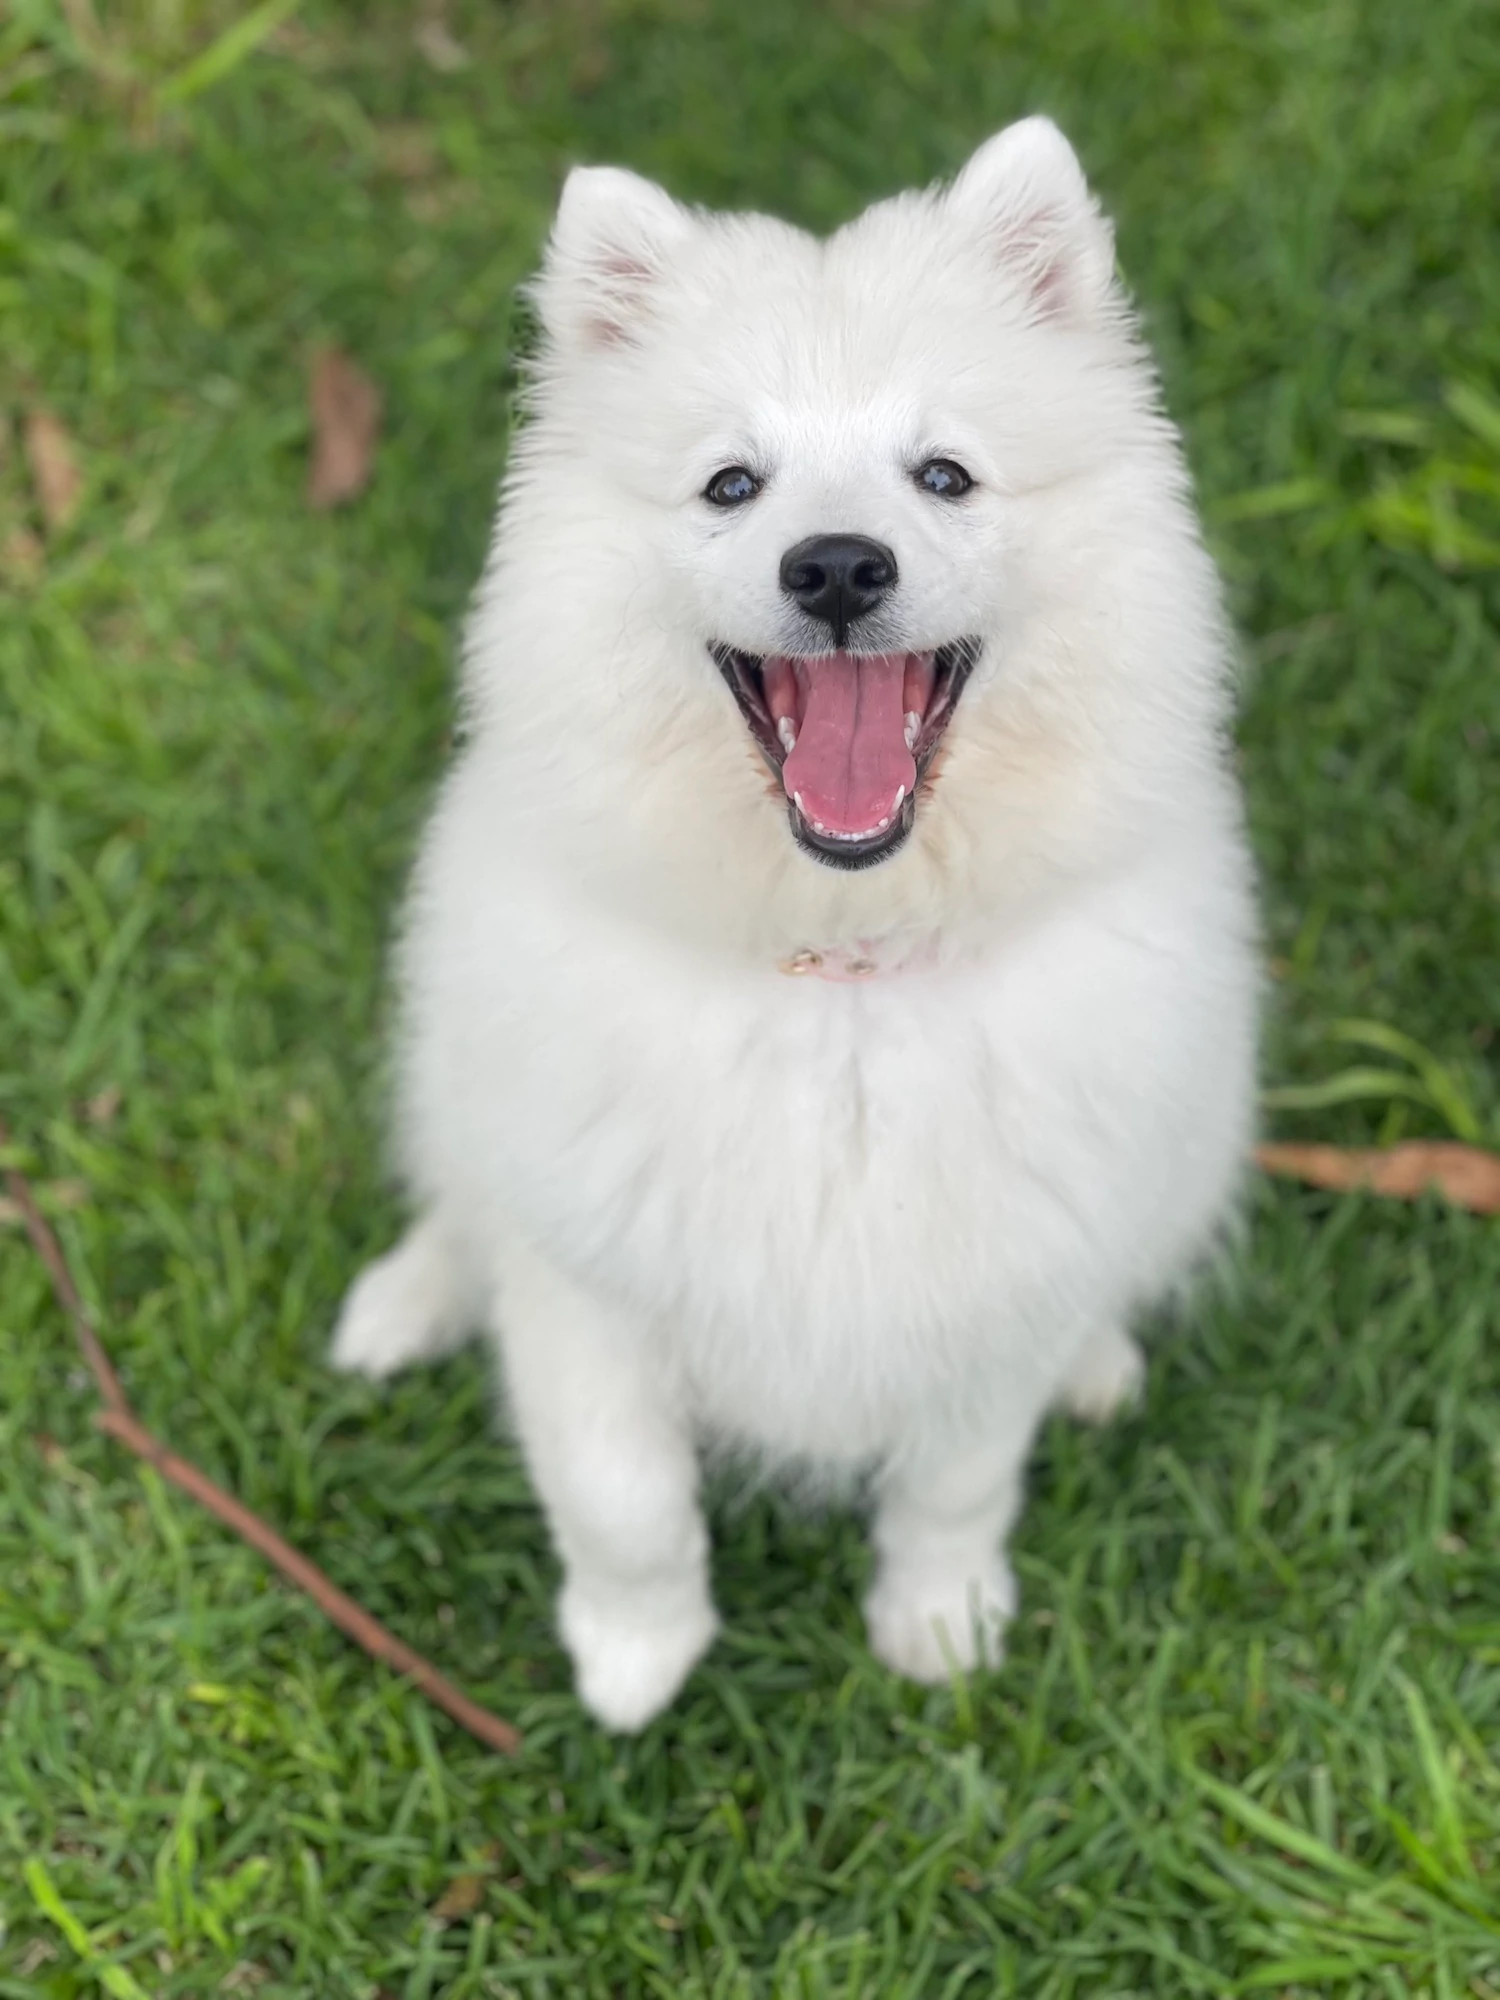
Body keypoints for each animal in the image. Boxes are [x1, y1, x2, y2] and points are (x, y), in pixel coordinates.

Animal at [334, 117, 1264, 1728]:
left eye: (944, 475)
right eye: (730, 485)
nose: (834, 563)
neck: (847, 964)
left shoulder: (989, 1287)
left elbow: (957, 1484)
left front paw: (939, 1627)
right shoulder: (587, 1286)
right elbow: (621, 1498)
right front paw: (634, 1660)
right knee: (458, 1203)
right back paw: (405, 1304)